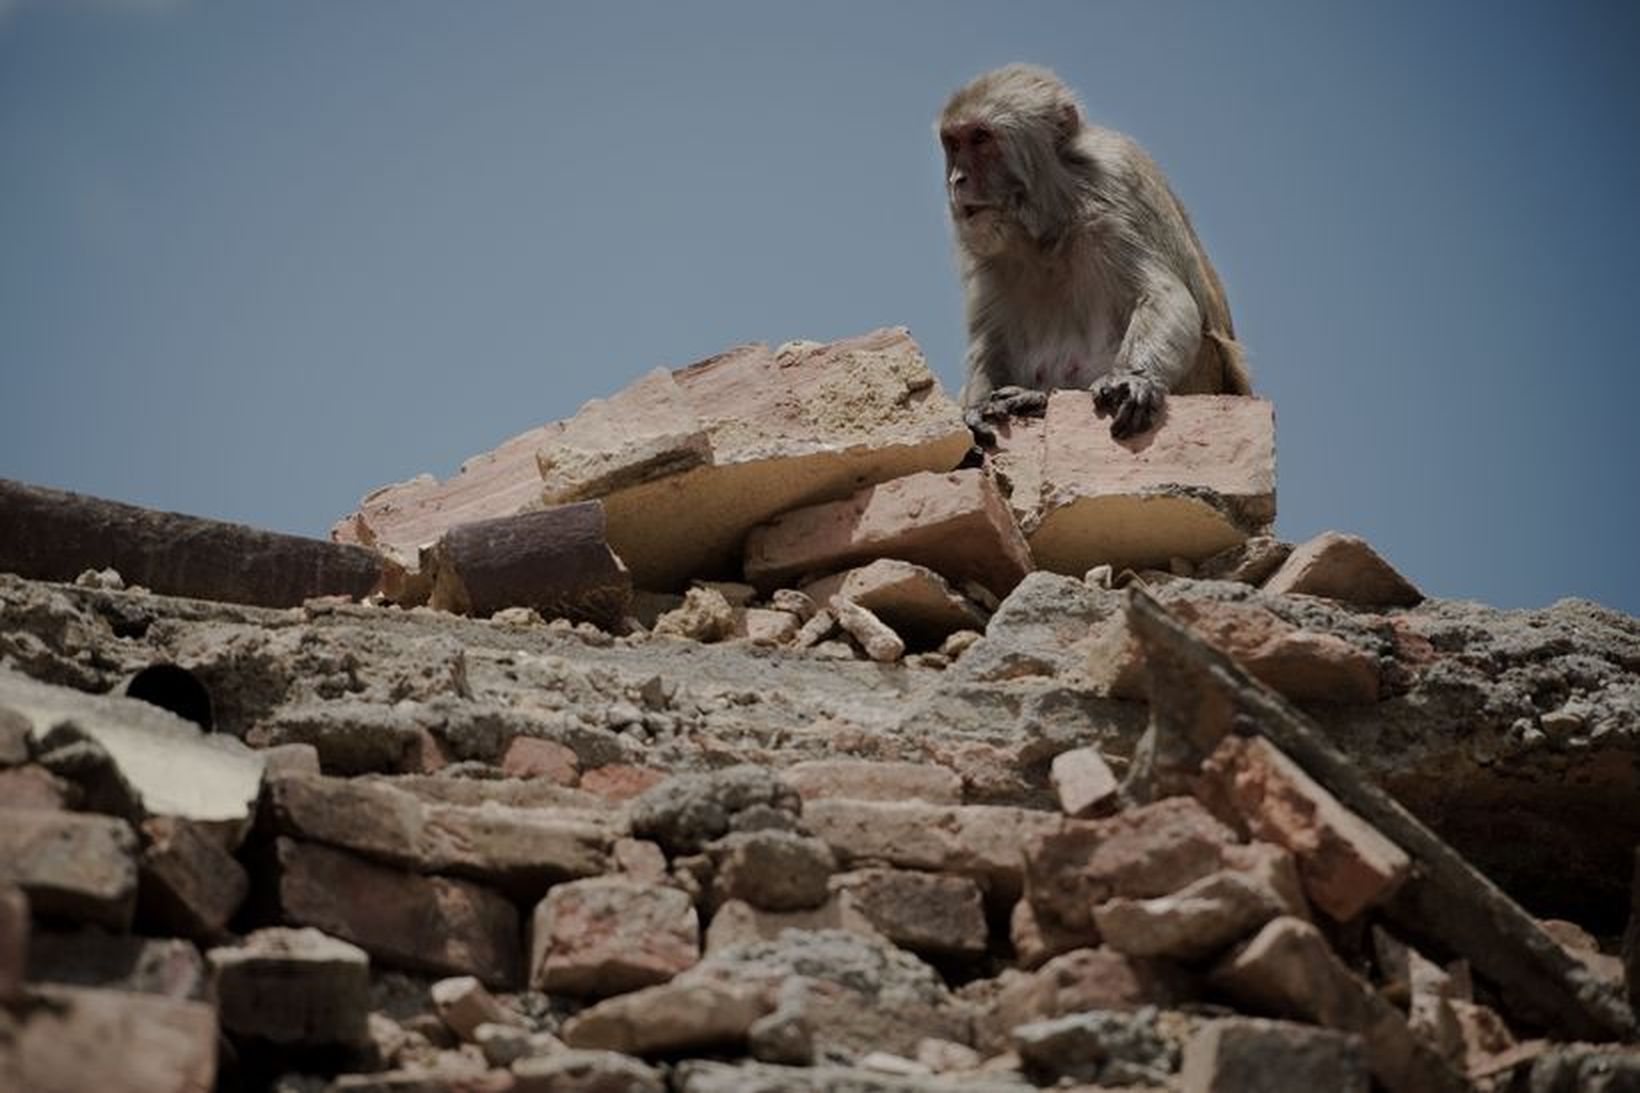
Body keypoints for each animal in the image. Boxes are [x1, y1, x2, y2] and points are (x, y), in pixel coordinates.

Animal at [938, 64, 1252, 443]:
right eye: (954, 143)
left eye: (981, 138)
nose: (957, 180)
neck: (1048, 227)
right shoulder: (983, 244)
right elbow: (990, 341)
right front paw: (979, 406)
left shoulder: (1115, 183)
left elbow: (1164, 295)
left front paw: (1133, 378)